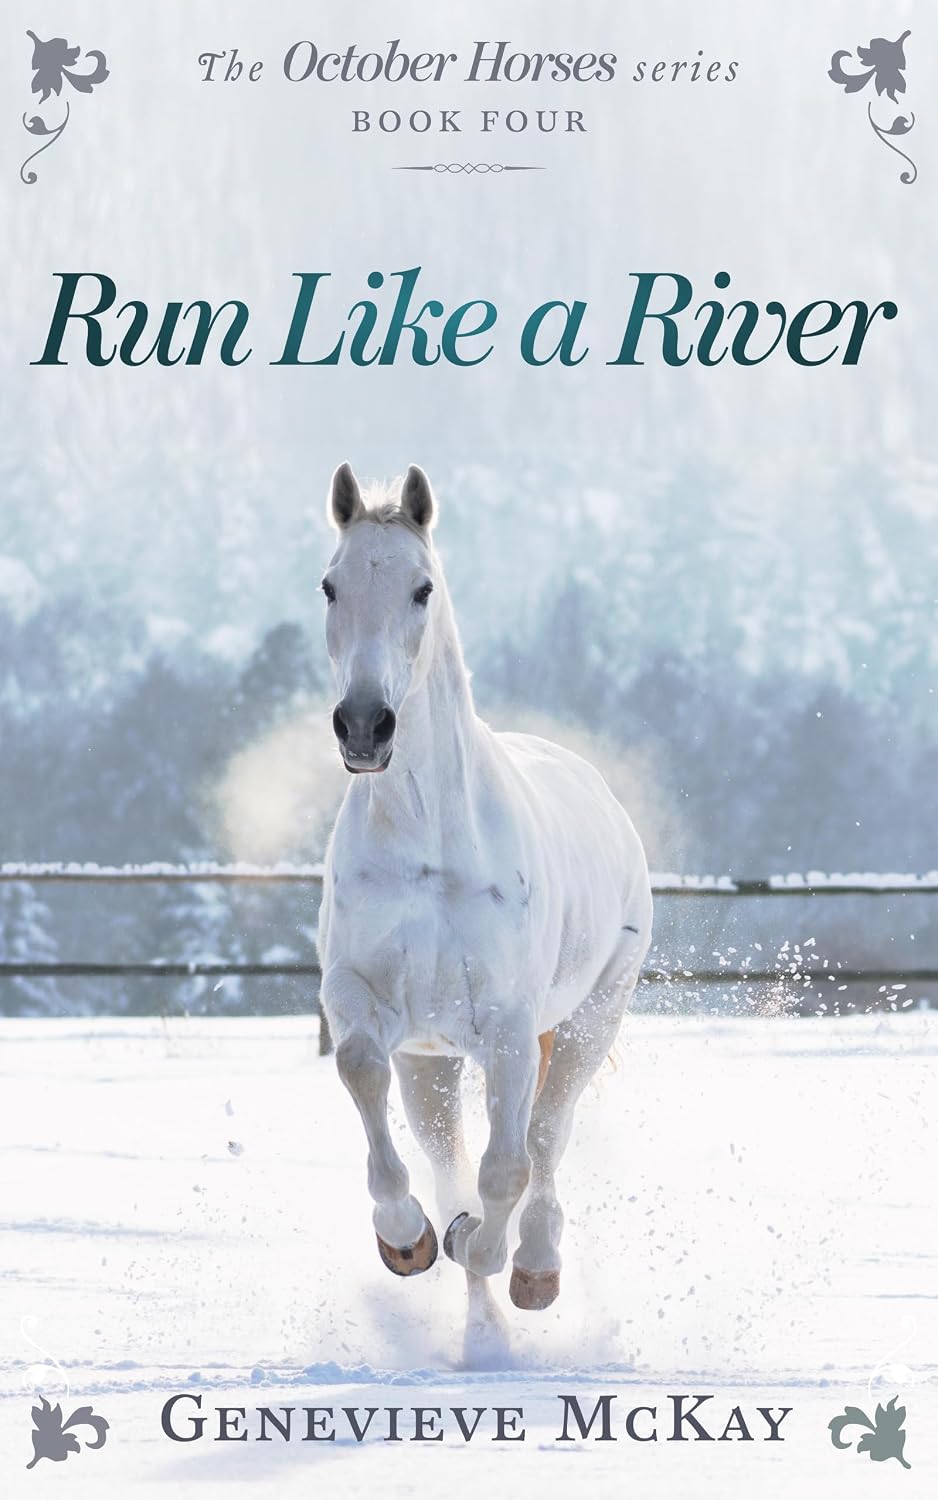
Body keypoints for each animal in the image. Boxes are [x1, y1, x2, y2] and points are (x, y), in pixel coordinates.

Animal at [316, 462, 653, 1362]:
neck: (432, 846)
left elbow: (509, 1168)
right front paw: (408, 1238)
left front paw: (487, 1247)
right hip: (433, 1060)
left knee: (545, 1138)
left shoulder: (507, 1025)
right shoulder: (363, 1001)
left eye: (422, 588)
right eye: (330, 585)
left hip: (587, 1023)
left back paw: (531, 1268)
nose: (365, 726)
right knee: (451, 1153)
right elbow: (365, 1080)